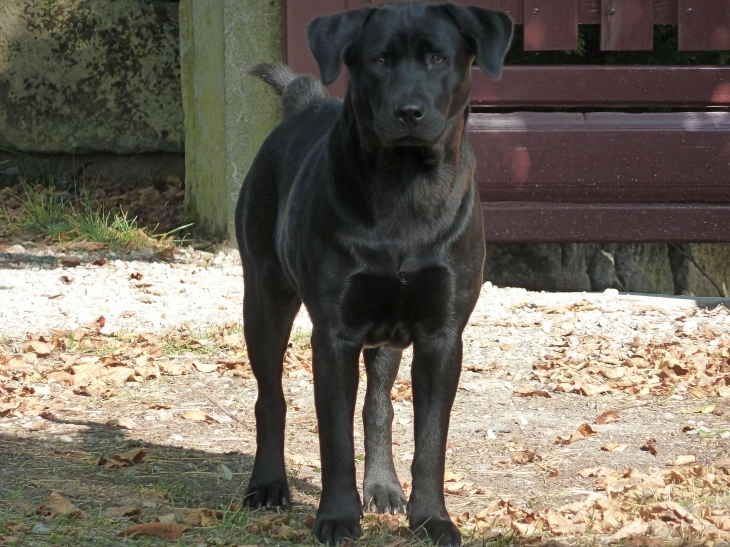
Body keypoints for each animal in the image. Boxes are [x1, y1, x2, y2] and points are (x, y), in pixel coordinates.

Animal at [236, 3, 510, 544]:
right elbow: (335, 439)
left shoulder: (441, 336)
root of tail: (305, 104)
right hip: (263, 300)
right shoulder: (334, 334)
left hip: (386, 333)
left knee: (378, 403)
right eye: (379, 60)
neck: (405, 185)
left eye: (437, 58)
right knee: (270, 398)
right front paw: (338, 518)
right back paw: (268, 485)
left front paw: (432, 519)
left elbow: (430, 440)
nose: (409, 111)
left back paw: (382, 487)